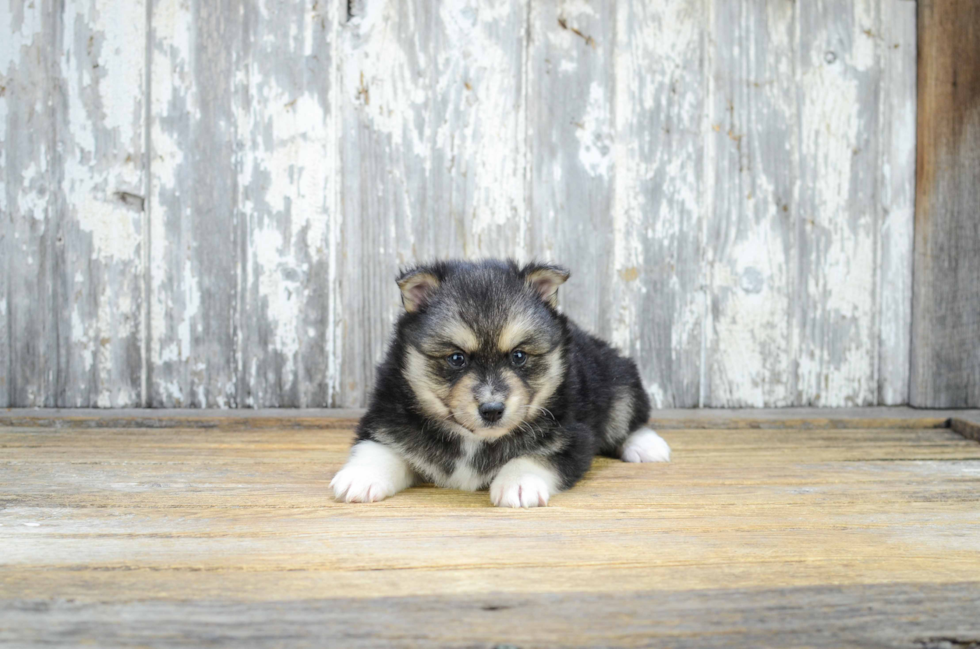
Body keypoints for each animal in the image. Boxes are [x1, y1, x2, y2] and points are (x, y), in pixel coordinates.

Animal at [334, 258, 668, 506]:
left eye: (518, 356)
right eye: (457, 358)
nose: (492, 409)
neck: (473, 440)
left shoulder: (572, 436)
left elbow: (537, 455)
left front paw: (518, 482)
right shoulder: (385, 419)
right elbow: (381, 446)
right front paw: (361, 475)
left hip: (618, 379)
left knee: (628, 418)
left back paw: (647, 445)